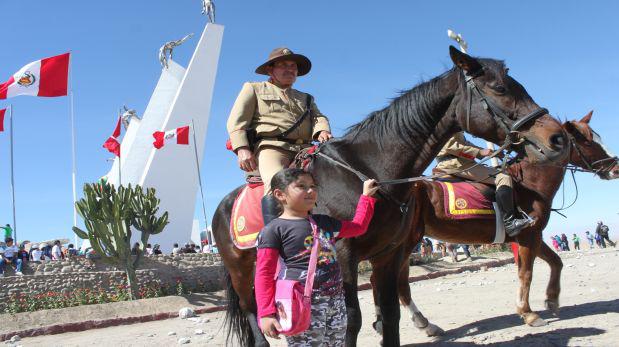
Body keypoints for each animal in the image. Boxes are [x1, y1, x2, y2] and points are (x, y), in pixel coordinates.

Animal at [212, 47, 568, 347]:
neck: (369, 170)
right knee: (253, 312)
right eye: (500, 88)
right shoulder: (344, 255)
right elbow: (352, 318)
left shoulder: (389, 254)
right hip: (242, 271)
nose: (558, 137)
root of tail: (221, 207)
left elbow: (390, 312)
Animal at [370, 111, 616, 338]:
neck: (529, 184)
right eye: (588, 140)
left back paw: (396, 323)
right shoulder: (528, 236)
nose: (616, 166)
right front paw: (528, 313)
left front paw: (552, 299)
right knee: (396, 282)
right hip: (406, 243)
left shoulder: (533, 234)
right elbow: (526, 273)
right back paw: (422, 323)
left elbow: (556, 262)